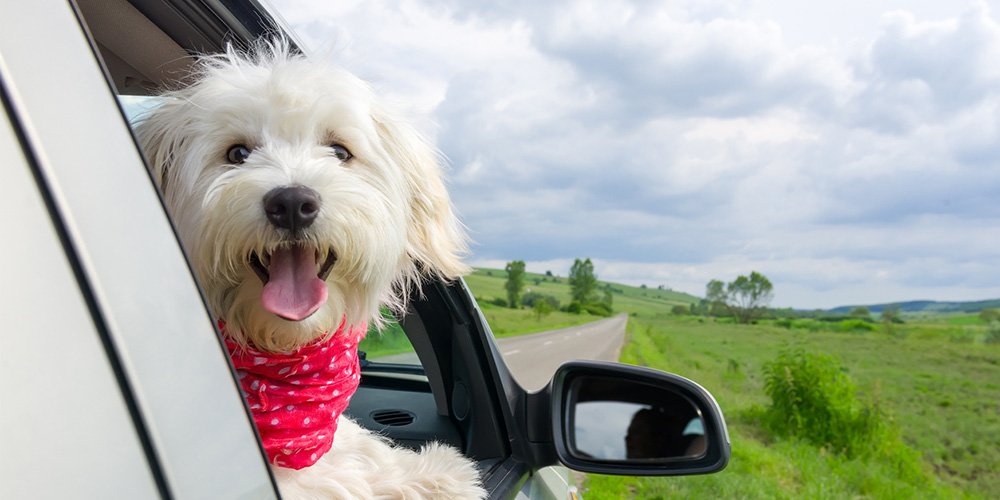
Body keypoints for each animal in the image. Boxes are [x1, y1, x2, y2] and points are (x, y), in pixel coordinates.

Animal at [135, 40, 486, 500]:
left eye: (339, 151)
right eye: (237, 153)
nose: (291, 203)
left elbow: (355, 444)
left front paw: (431, 467)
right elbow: (344, 476)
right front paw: (432, 472)